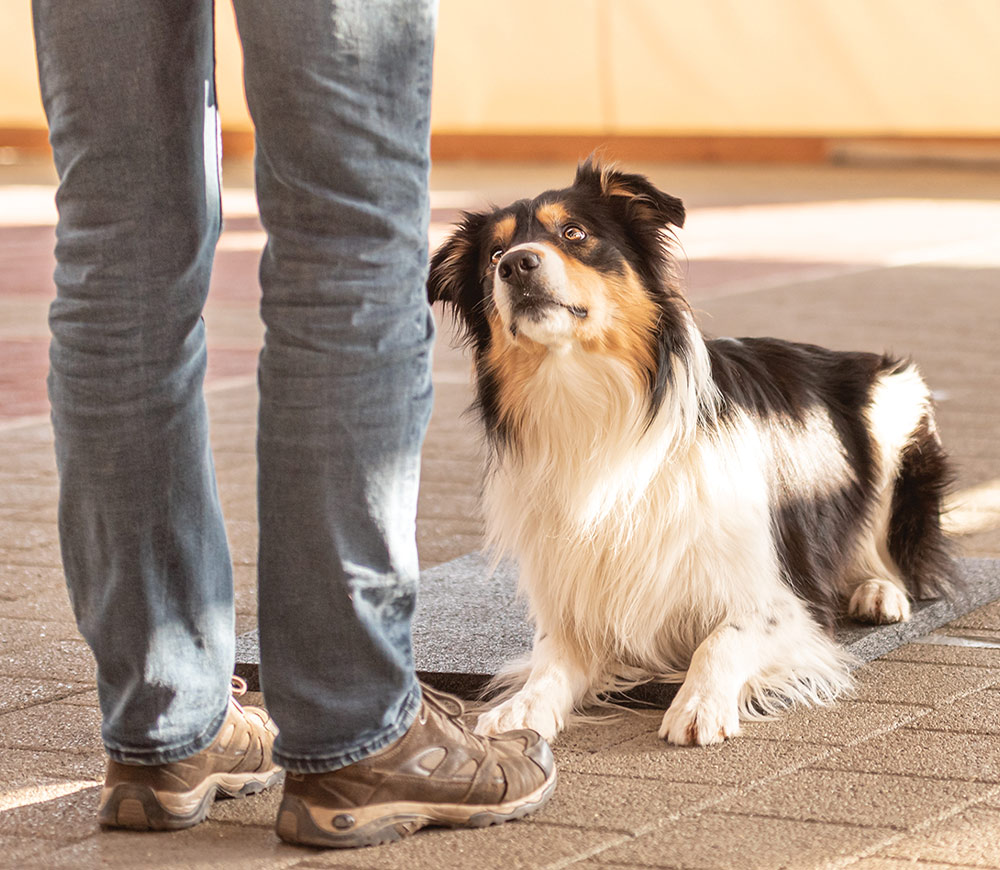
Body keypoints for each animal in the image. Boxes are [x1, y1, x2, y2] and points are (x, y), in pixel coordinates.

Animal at [426, 160, 956, 744]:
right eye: (493, 254)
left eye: (574, 233)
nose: (516, 265)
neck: (590, 404)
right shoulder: (576, 603)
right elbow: (551, 661)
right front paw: (523, 707)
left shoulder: (782, 599)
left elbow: (721, 639)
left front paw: (699, 702)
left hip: (895, 406)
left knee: (894, 549)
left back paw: (880, 591)